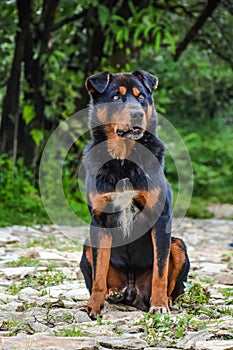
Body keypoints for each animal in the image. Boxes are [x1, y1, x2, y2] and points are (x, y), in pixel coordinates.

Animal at [80, 70, 189, 320]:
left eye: (141, 97)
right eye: (116, 97)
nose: (137, 114)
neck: (123, 159)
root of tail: (132, 289)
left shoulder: (160, 219)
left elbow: (160, 270)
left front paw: (159, 305)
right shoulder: (100, 221)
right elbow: (99, 274)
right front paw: (93, 307)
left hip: (178, 245)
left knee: (174, 285)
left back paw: (166, 300)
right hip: (88, 245)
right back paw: (113, 294)